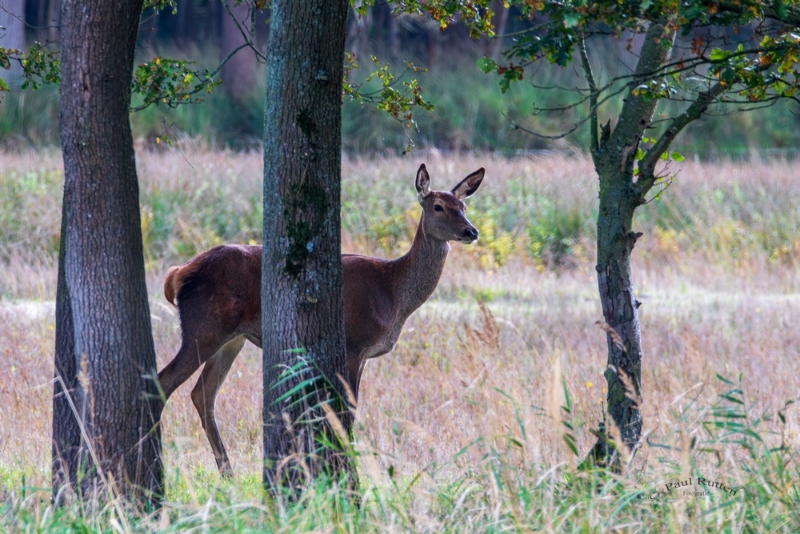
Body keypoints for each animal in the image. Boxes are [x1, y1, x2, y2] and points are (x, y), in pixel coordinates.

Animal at [155, 164, 482, 478]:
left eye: (463, 206)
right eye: (438, 206)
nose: (471, 231)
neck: (392, 295)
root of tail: (177, 274)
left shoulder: (363, 354)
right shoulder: (352, 342)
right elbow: (346, 409)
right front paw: (347, 463)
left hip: (231, 338)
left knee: (202, 393)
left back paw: (228, 475)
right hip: (204, 326)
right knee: (164, 382)